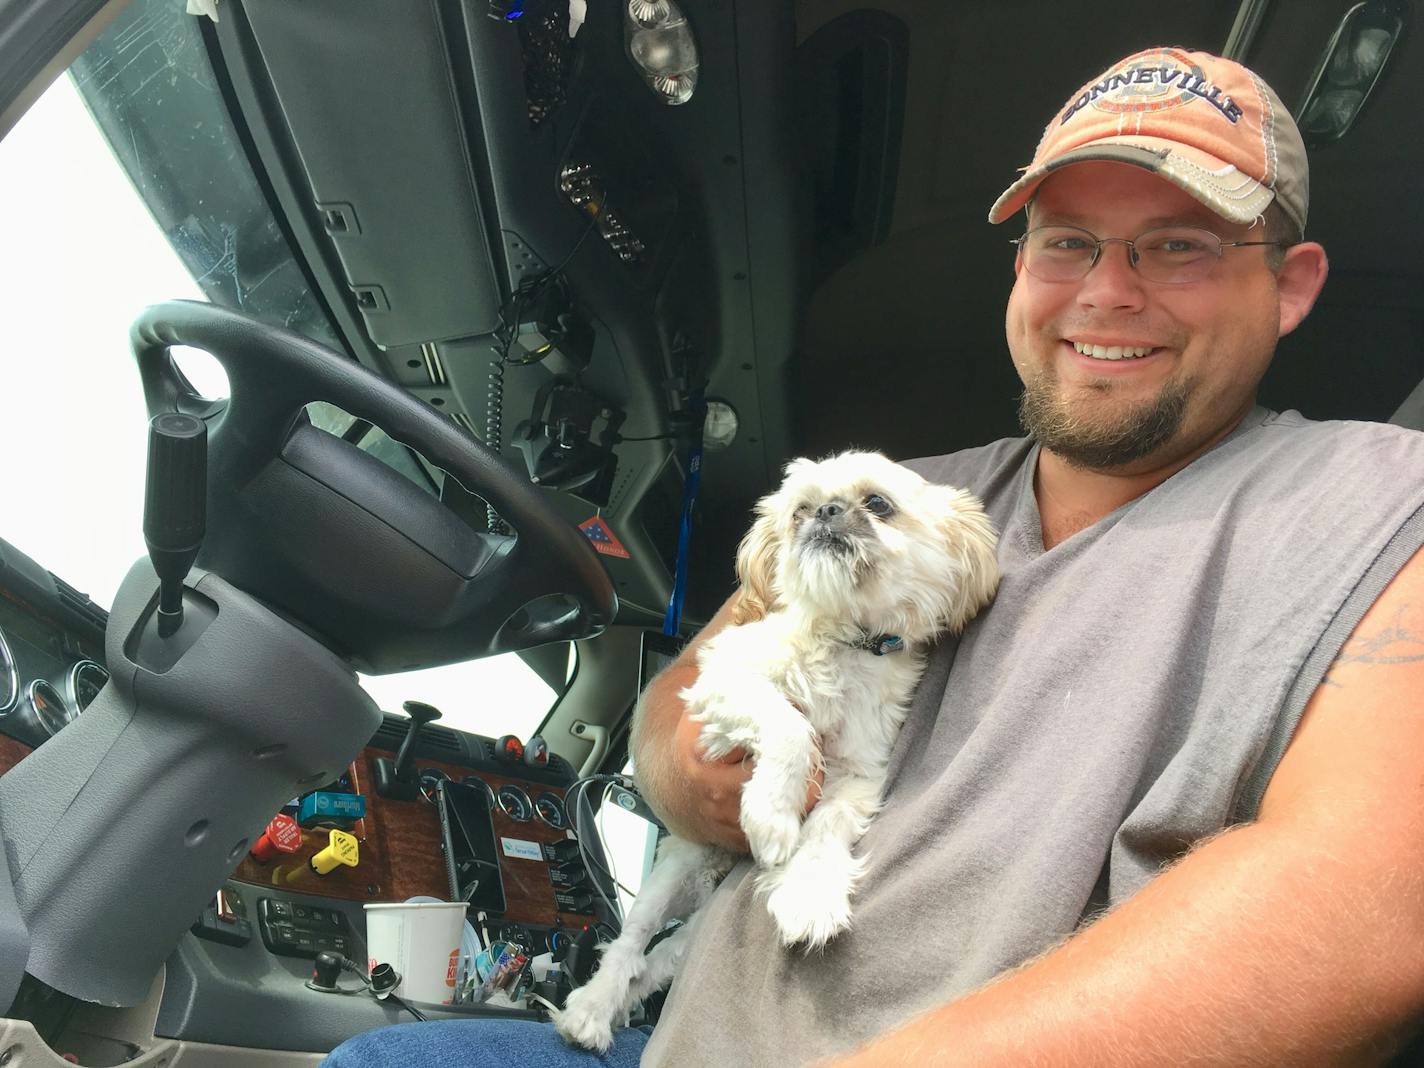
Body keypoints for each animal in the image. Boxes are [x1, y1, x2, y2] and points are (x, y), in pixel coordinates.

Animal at [549, 452, 996, 1053]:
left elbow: (827, 828)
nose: (826, 512)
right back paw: (592, 1010)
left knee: (659, 961)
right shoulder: (722, 685)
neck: (841, 641)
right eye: (800, 509)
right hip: (675, 874)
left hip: (690, 930)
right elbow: (789, 726)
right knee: (629, 943)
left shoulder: (857, 774)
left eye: (878, 503)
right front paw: (773, 816)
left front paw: (809, 892)